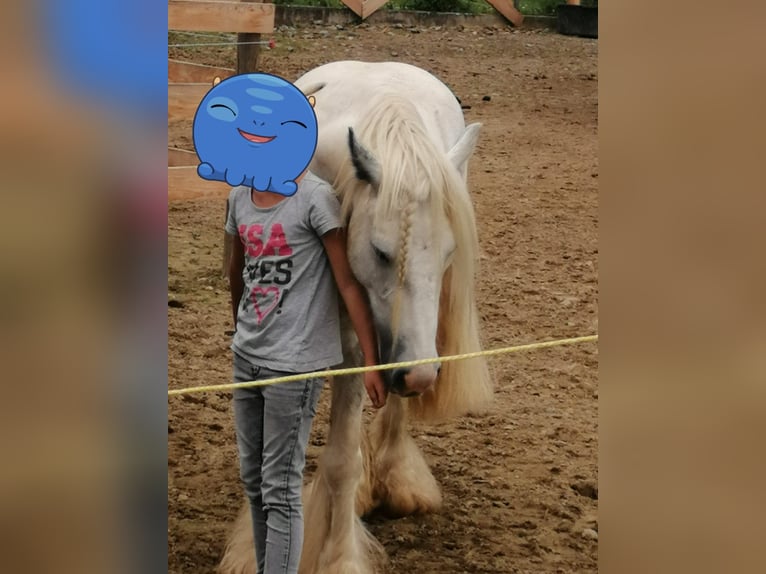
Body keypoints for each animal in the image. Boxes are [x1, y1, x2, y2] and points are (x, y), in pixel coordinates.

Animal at [219, 61, 493, 574]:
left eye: (449, 255)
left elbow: (342, 458)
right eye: (381, 252)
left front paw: (340, 556)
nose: (420, 376)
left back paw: (396, 479)